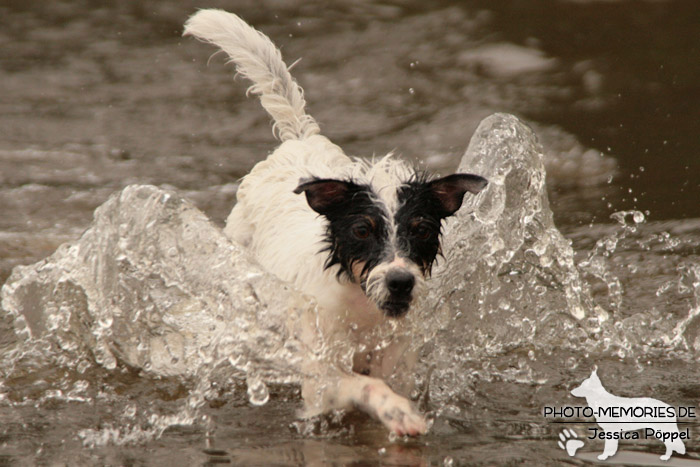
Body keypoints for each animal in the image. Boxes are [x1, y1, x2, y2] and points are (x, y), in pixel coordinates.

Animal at [183, 9, 484, 436]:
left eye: (421, 229)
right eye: (362, 230)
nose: (400, 282)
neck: (362, 311)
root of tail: (299, 140)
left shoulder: (398, 361)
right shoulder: (323, 380)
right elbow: (365, 386)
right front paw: (399, 412)